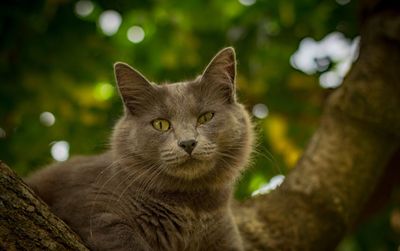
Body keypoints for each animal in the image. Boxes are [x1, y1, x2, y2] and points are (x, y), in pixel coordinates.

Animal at [26, 47, 255, 251]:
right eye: (161, 124)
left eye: (205, 117)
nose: (188, 143)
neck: (191, 209)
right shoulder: (95, 213)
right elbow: (128, 240)